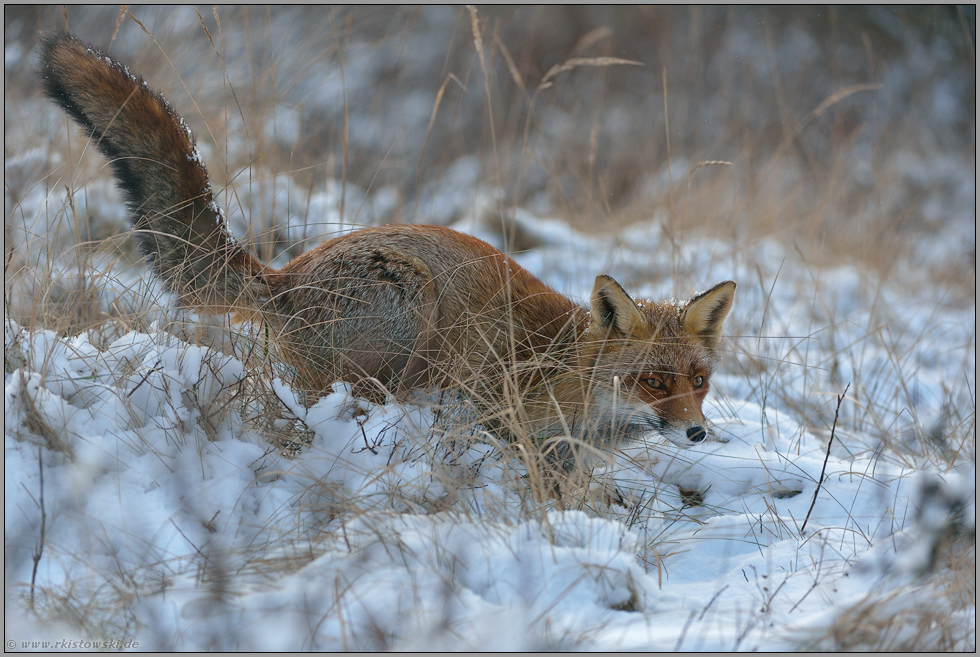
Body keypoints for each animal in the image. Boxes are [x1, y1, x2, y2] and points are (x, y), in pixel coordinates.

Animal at [42, 33, 740, 448]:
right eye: (653, 381)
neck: (565, 373)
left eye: (698, 381)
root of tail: (285, 277)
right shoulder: (496, 408)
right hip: (410, 304)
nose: (697, 434)